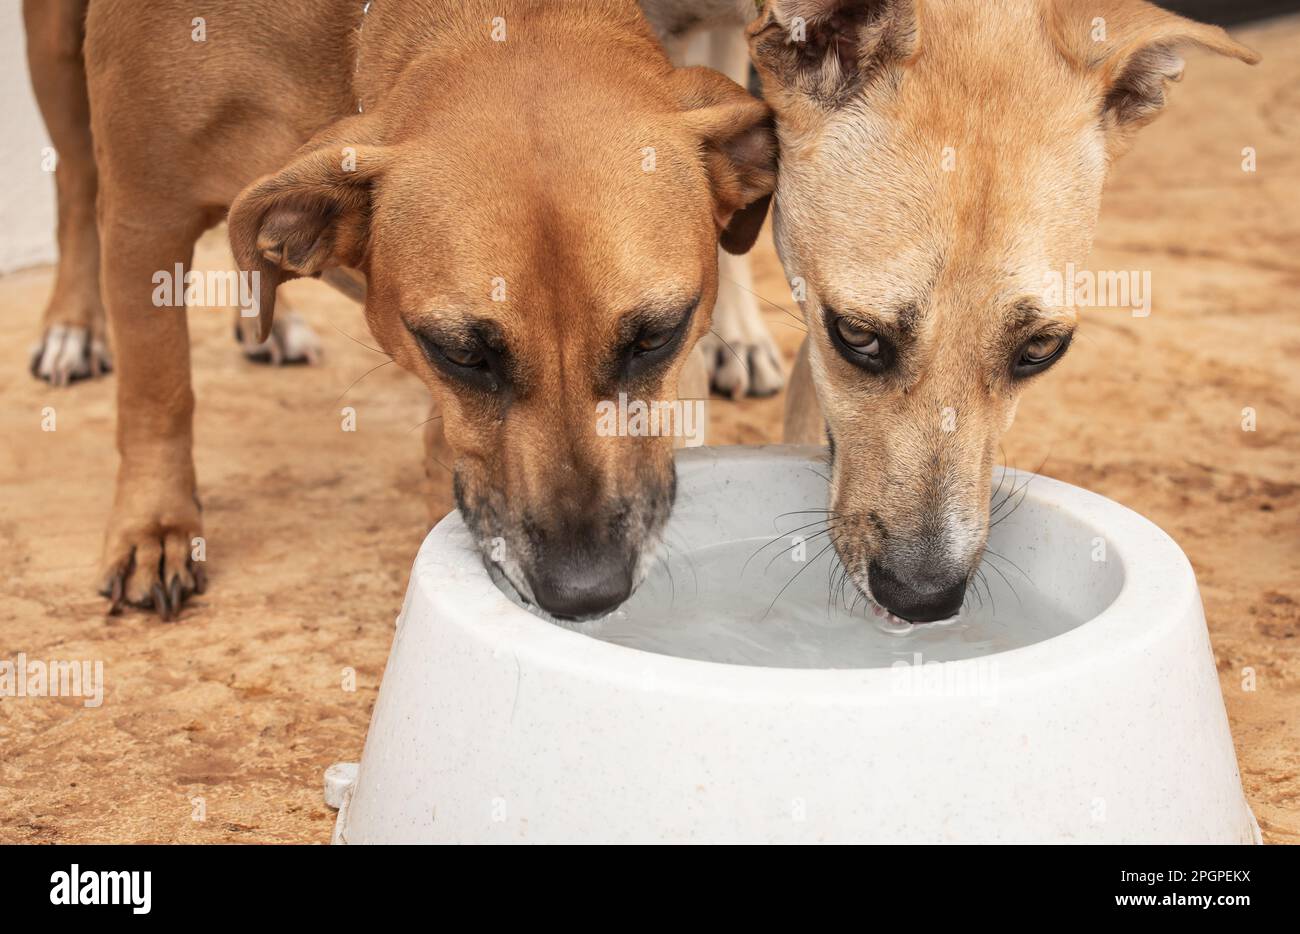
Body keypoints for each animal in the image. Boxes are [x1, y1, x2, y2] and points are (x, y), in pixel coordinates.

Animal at [30, 1, 774, 629]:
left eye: (657, 336)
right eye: (462, 352)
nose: (586, 591)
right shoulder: (144, 214)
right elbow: (157, 388)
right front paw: (155, 526)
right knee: (72, 180)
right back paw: (73, 327)